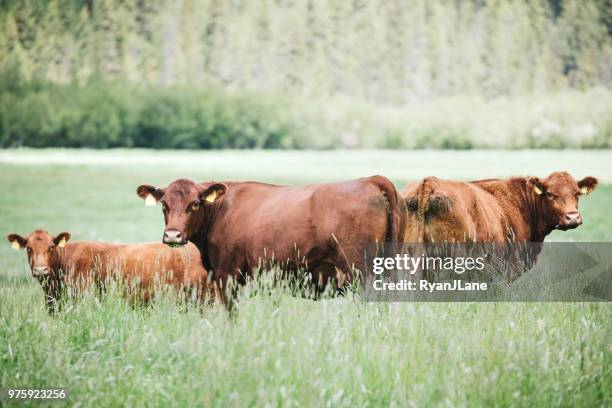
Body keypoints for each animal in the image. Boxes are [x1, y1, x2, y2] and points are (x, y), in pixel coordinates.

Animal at [137, 175, 408, 296]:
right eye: (164, 205)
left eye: (194, 204)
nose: (173, 235)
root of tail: (369, 180)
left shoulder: (227, 275)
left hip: (359, 271)